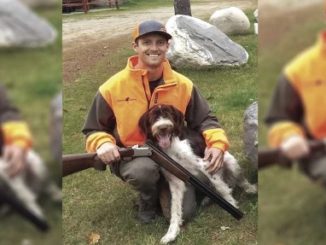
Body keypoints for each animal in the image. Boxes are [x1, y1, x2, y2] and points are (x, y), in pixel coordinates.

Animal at [139, 104, 256, 244]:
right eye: (154, 117)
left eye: (169, 115)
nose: (163, 127)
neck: (172, 146)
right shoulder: (175, 181)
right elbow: (175, 209)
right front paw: (171, 233)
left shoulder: (206, 165)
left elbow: (222, 190)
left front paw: (233, 207)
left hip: (231, 163)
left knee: (239, 181)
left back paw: (251, 189)